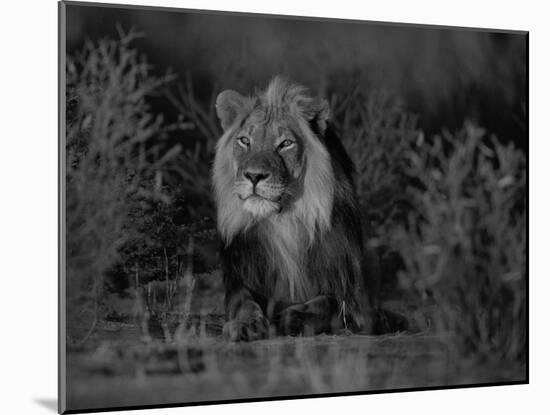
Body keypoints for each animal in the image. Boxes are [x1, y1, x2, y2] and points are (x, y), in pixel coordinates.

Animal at [216, 77, 392, 342]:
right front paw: (246, 324)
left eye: (285, 144)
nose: (254, 176)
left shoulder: (351, 298)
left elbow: (324, 304)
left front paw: (286, 318)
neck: (285, 220)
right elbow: (244, 302)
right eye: (244, 141)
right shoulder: (241, 278)